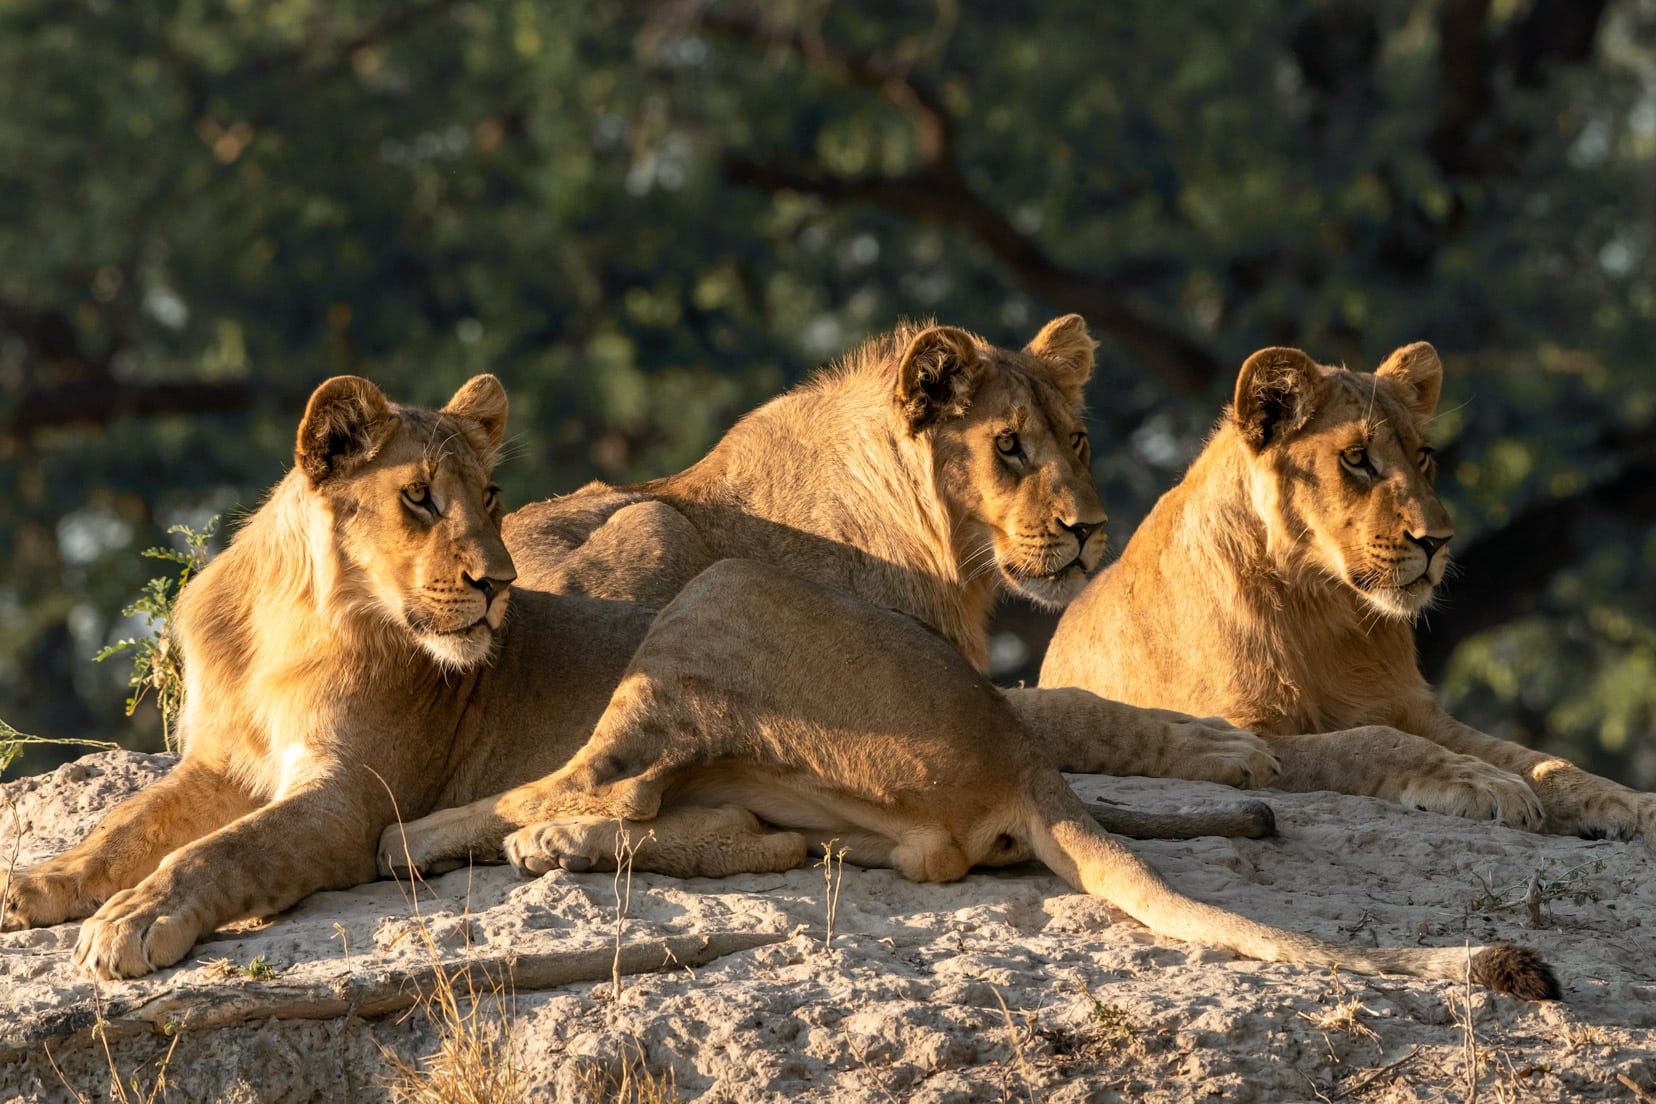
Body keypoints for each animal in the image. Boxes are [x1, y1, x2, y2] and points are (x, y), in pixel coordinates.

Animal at [1046, 340, 1656, 840]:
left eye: (1423, 456)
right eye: (1357, 458)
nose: (1438, 541)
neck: (1320, 606)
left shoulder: (1413, 708)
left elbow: (1534, 757)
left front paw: (1632, 803)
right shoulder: (1242, 731)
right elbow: (1366, 742)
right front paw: (1484, 782)